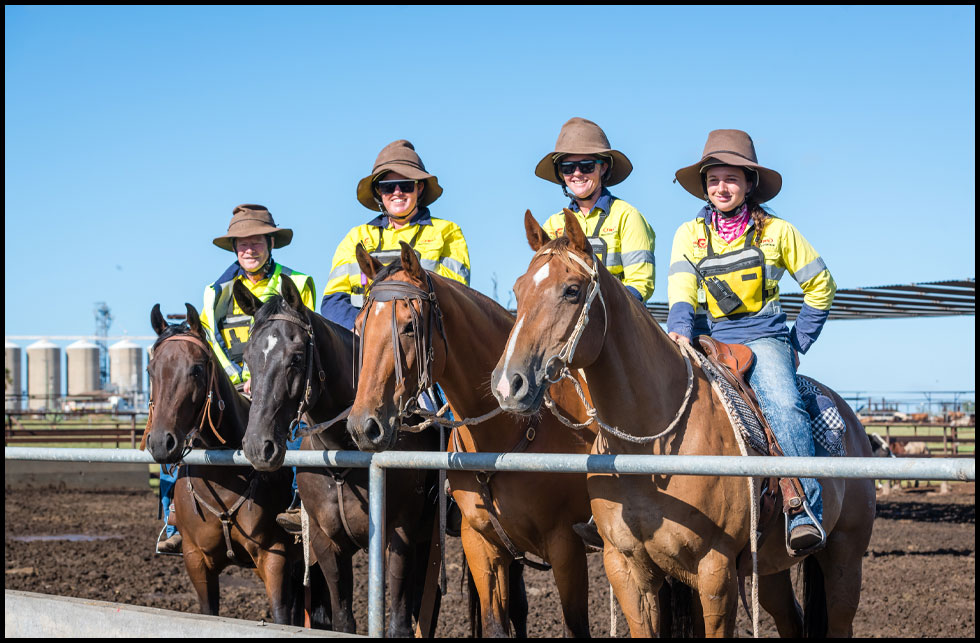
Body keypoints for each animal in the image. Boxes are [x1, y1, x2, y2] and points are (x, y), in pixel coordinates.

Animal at [144, 304, 330, 628]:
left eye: (196, 369)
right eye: (151, 370)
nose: (160, 442)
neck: (224, 478)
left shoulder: (275, 559)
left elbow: (281, 616)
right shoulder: (195, 560)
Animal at [234, 276, 440, 640]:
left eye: (296, 358)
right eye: (247, 357)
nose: (258, 446)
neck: (347, 458)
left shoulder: (400, 536)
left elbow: (400, 623)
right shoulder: (325, 542)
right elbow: (343, 620)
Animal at [348, 242, 600, 640]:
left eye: (409, 326)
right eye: (359, 327)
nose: (363, 425)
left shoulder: (567, 550)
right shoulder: (482, 544)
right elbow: (498, 623)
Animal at [494, 213, 876, 640]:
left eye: (572, 290)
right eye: (518, 289)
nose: (508, 384)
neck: (647, 451)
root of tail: (851, 421)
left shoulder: (716, 572)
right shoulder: (627, 570)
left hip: (844, 559)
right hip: (770, 569)